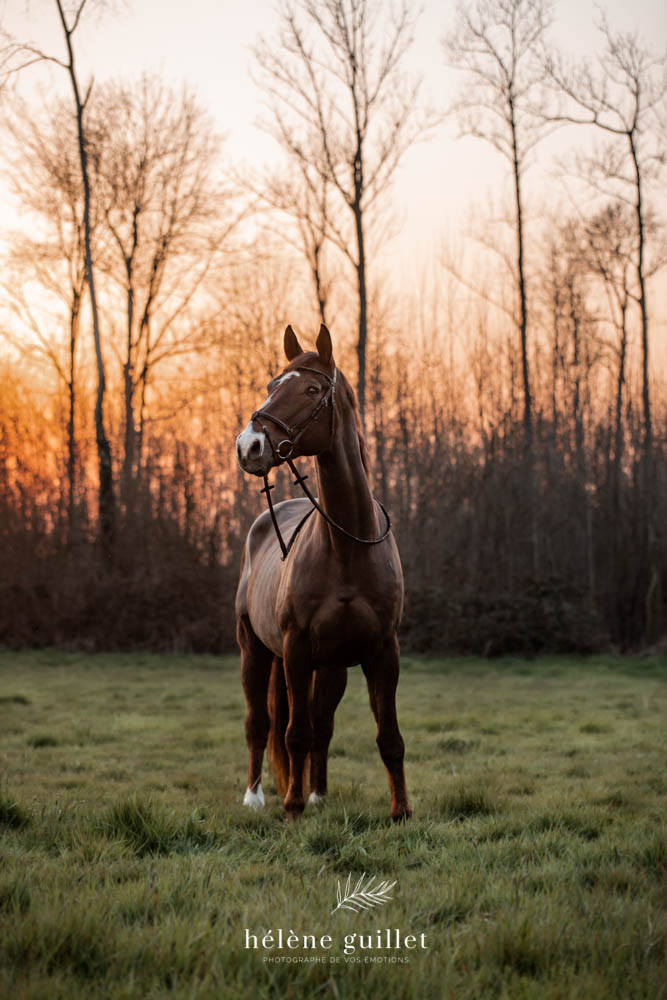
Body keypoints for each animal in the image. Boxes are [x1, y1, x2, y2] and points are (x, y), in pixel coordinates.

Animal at [235, 324, 412, 824]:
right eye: (273, 384)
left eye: (312, 390)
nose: (249, 446)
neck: (347, 546)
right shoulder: (295, 650)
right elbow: (292, 733)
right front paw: (292, 809)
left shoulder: (383, 652)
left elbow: (389, 737)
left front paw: (401, 812)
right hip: (254, 651)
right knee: (260, 723)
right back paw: (257, 797)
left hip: (331, 667)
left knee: (322, 724)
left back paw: (318, 794)